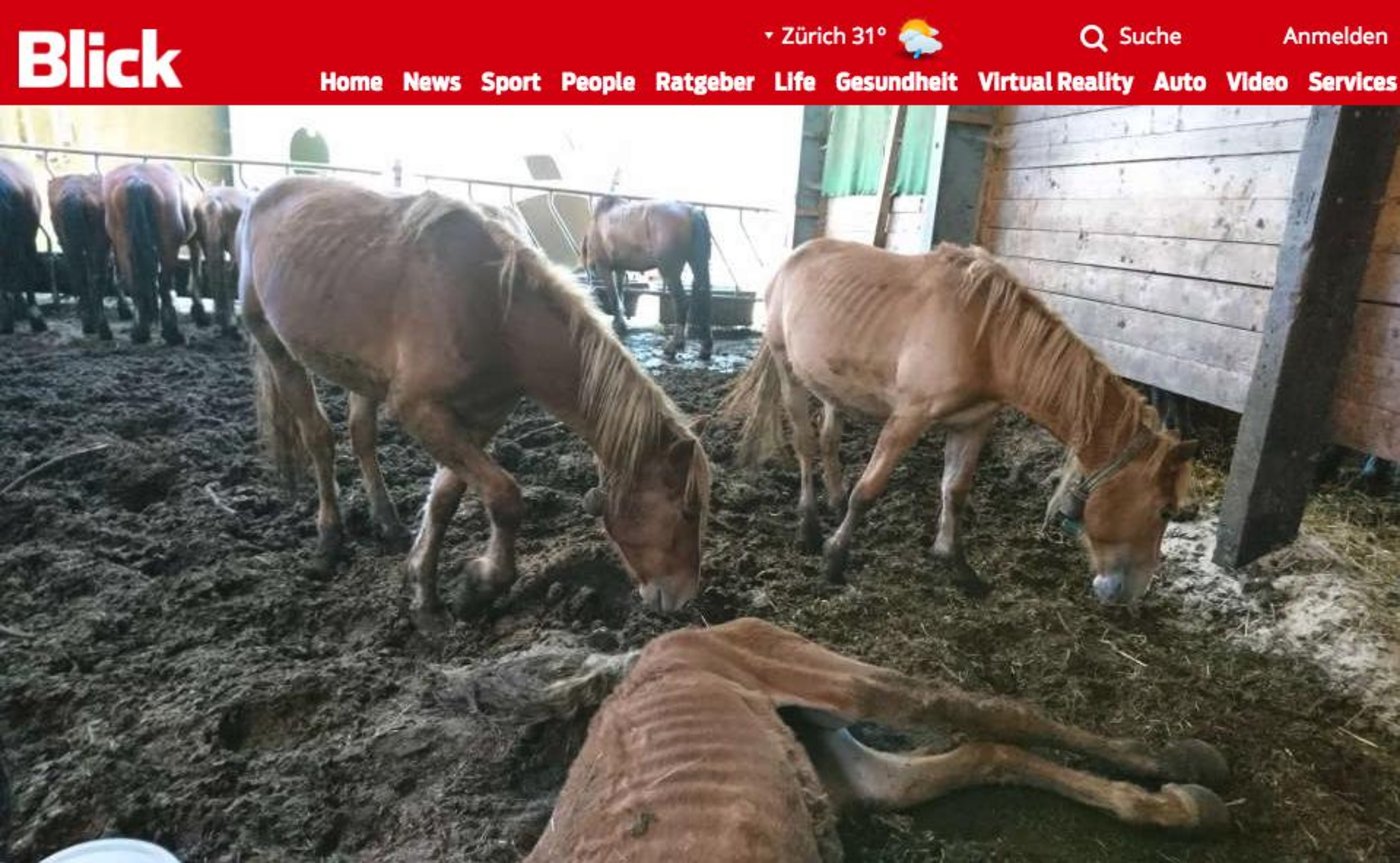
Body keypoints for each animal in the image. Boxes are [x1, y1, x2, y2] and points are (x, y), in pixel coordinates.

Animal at [103, 162, 198, 345]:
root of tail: (137, 181)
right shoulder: (194, 241)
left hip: (123, 243)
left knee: (134, 284)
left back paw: (140, 331)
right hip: (168, 245)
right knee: (164, 285)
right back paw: (172, 333)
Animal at [504, 617, 1229, 861]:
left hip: (826, 676)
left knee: (982, 708)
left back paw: (1180, 766)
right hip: (852, 777)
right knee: (985, 753)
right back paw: (1174, 801)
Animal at [580, 196, 714, 360]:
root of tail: (692, 211)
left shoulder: (604, 267)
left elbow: (613, 297)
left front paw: (619, 325)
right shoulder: (620, 268)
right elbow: (620, 294)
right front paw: (620, 322)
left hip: (670, 270)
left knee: (682, 302)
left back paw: (674, 345)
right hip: (699, 263)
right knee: (704, 298)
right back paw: (705, 347)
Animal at [722, 240, 1197, 605]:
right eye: (1164, 510)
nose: (1133, 593)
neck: (989, 338)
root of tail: (795, 257)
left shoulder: (973, 425)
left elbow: (955, 492)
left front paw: (956, 564)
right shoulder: (908, 418)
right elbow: (869, 490)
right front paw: (835, 558)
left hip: (831, 385)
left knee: (828, 441)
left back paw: (833, 501)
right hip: (789, 372)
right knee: (805, 444)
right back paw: (809, 526)